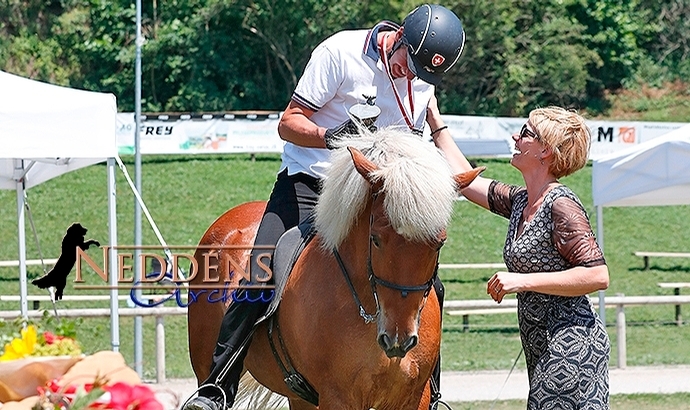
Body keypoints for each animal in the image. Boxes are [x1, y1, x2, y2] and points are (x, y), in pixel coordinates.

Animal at [185, 130, 482, 410]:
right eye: (375, 238)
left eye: (439, 243)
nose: (398, 339)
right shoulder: (338, 398)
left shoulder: (413, 398)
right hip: (205, 364)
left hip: (301, 397)